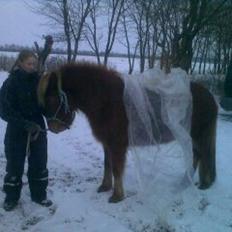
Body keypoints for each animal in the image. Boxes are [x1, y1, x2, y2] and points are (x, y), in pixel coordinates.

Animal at [37, 62, 218, 202]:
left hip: (199, 135)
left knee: (203, 155)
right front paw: (105, 187)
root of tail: (210, 97)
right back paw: (185, 182)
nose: (53, 128)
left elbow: (117, 168)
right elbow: (107, 165)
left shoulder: (117, 145)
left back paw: (203, 184)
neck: (106, 100)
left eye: (52, 98)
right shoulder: (107, 143)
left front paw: (117, 196)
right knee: (196, 155)